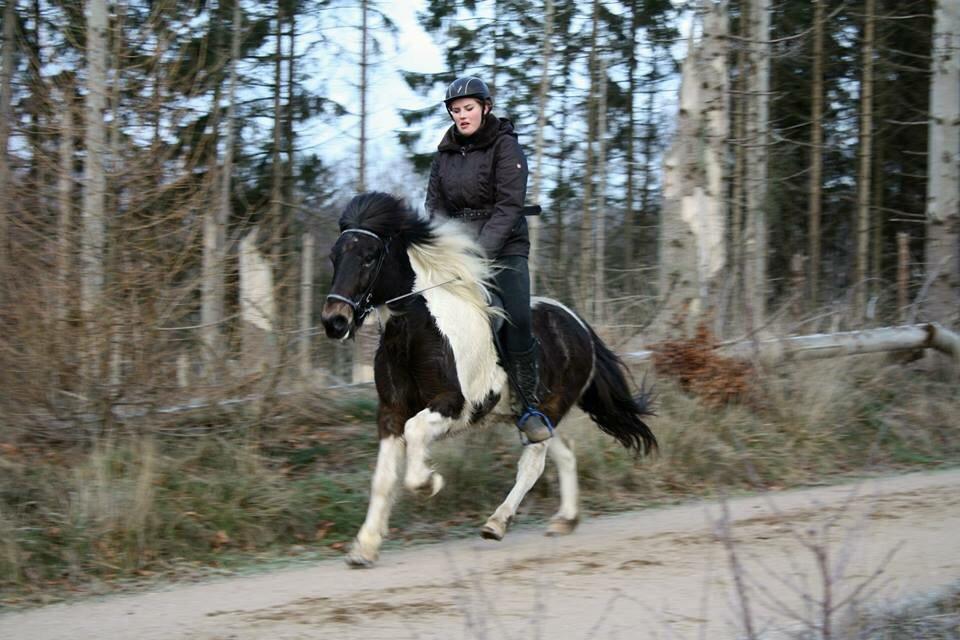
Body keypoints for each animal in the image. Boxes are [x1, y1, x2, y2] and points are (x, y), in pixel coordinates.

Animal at [318, 192, 656, 568]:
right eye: (334, 256)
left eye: (369, 257)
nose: (334, 321)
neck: (415, 331)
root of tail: (578, 323)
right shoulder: (390, 413)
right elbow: (382, 479)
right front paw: (364, 548)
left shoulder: (453, 405)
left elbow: (416, 432)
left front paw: (429, 483)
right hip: (530, 416)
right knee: (564, 453)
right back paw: (564, 520)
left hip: (549, 407)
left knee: (533, 464)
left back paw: (496, 523)